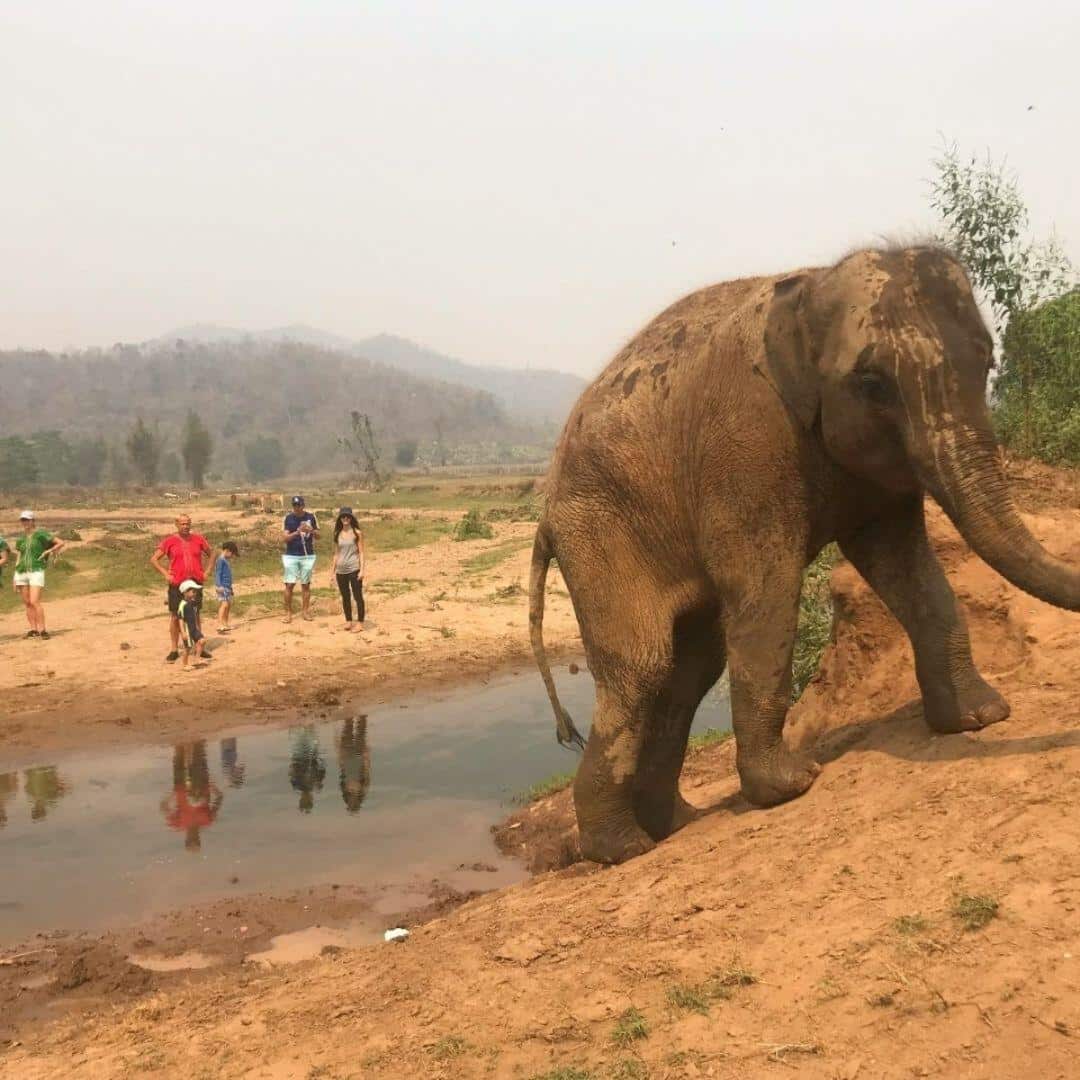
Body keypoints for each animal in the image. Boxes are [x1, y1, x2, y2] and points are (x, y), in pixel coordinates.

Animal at [529, 244, 1080, 865]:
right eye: (873, 383)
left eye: (987, 363)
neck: (814, 284)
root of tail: (546, 510)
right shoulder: (747, 441)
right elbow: (767, 588)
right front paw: (791, 787)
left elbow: (901, 562)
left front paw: (980, 717)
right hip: (601, 538)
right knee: (644, 665)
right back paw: (623, 849)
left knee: (692, 665)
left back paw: (672, 824)